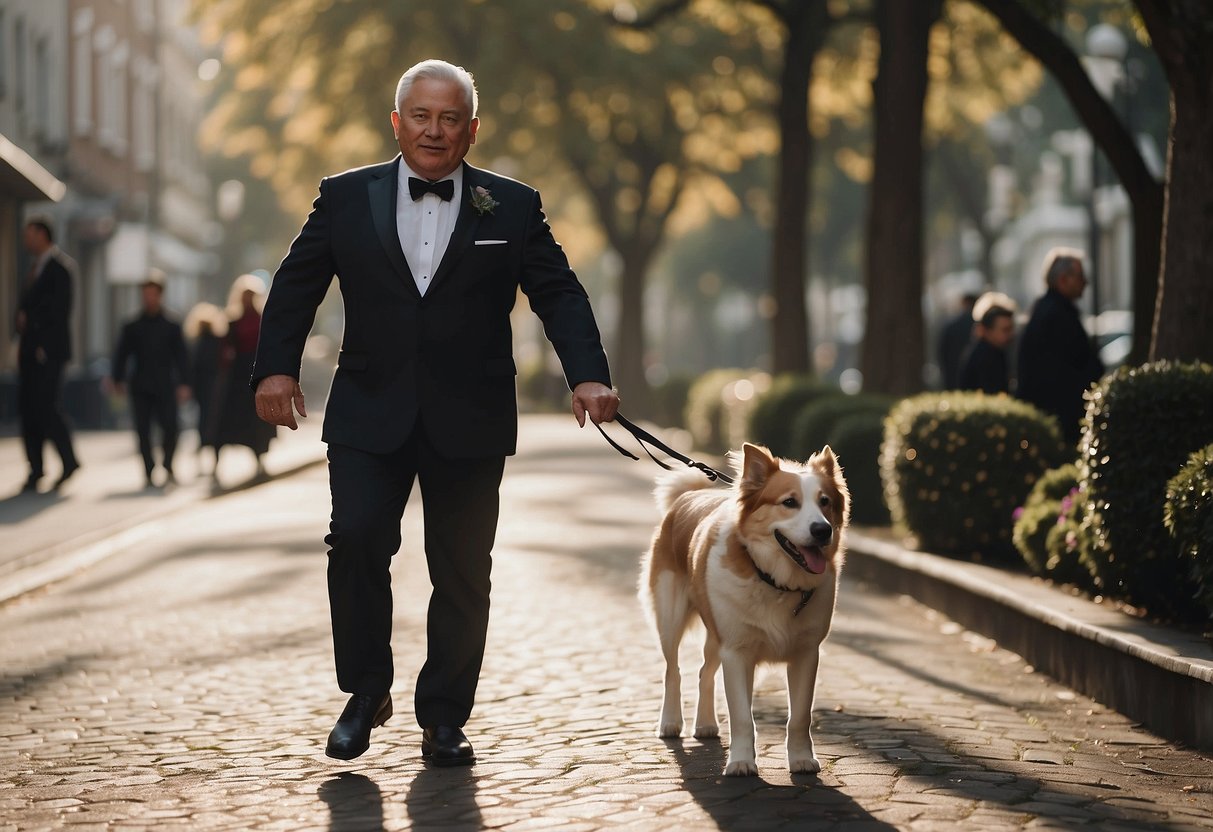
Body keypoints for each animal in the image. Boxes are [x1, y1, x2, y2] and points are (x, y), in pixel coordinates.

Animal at [640, 446, 849, 781]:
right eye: (789, 502)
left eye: (825, 502)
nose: (822, 530)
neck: (774, 581)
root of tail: (688, 498)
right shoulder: (736, 652)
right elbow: (741, 716)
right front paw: (740, 763)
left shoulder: (806, 654)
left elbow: (800, 717)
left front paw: (801, 759)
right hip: (670, 619)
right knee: (672, 671)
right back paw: (670, 722)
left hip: (716, 633)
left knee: (704, 673)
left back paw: (706, 724)